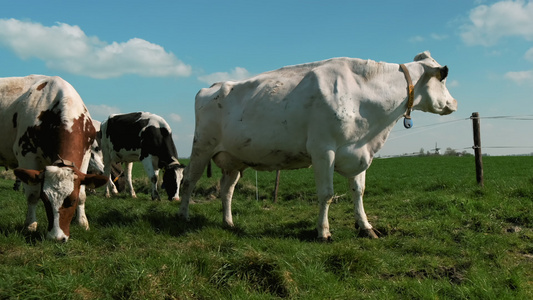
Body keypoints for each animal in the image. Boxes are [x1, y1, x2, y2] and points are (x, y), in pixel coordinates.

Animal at [0, 75, 108, 241]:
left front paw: (82, 223)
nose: (56, 238)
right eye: (45, 199)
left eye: (72, 200)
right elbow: (32, 195)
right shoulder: (26, 155)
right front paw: (30, 225)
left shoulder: (85, 156)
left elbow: (83, 194)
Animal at [180, 51, 458, 239]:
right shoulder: (324, 150)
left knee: (226, 190)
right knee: (188, 181)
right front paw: (323, 232)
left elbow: (358, 191)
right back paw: (184, 216)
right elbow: (327, 194)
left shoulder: (358, 151)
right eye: (443, 80)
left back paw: (228, 222)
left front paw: (365, 227)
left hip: (234, 159)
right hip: (201, 146)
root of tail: (212, 86)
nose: (454, 103)